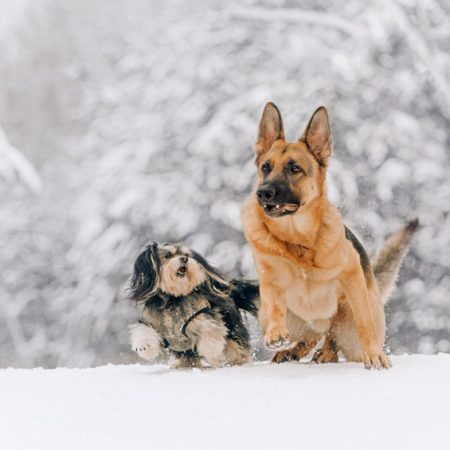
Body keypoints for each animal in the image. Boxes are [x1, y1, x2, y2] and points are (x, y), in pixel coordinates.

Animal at [128, 244, 258, 368]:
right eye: (168, 255)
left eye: (186, 254)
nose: (184, 259)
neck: (174, 298)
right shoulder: (150, 321)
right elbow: (144, 330)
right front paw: (144, 346)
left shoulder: (204, 317)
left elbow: (210, 335)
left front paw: (212, 352)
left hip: (233, 329)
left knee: (236, 348)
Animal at [243, 103, 418, 370]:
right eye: (265, 167)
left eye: (294, 168)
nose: (263, 193)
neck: (299, 240)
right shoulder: (269, 278)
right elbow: (274, 303)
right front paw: (275, 333)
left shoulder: (352, 274)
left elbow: (364, 323)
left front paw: (374, 355)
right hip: (272, 316)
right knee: (311, 336)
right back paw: (291, 351)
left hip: (349, 320)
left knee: (333, 335)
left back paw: (327, 353)